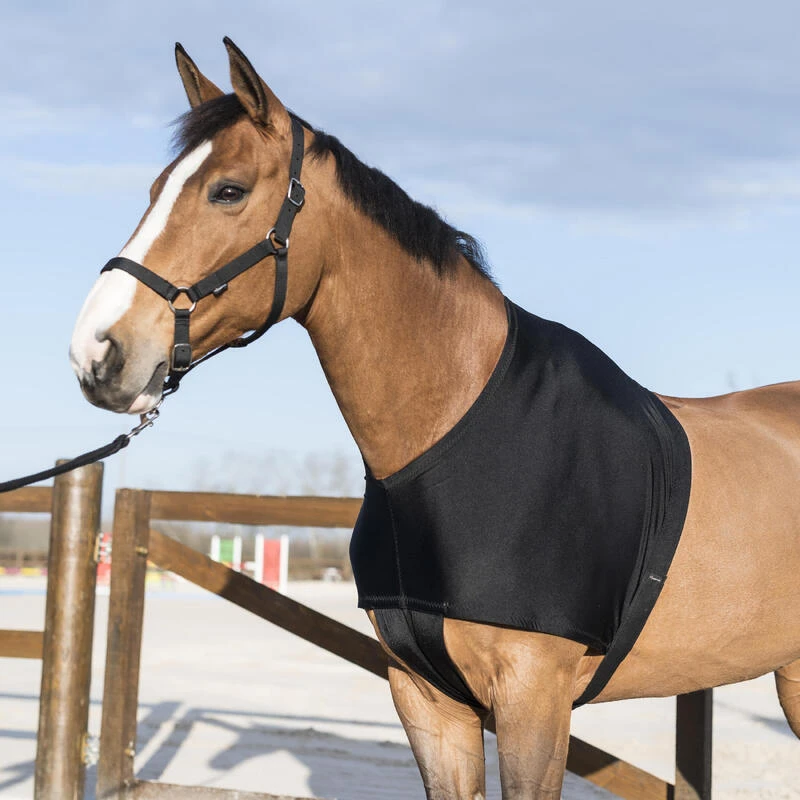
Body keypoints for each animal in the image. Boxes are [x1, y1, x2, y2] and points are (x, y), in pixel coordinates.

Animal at [69, 39, 800, 798]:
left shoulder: (534, 705)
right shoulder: (426, 698)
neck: (455, 429)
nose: (96, 351)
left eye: (229, 190)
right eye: (154, 190)